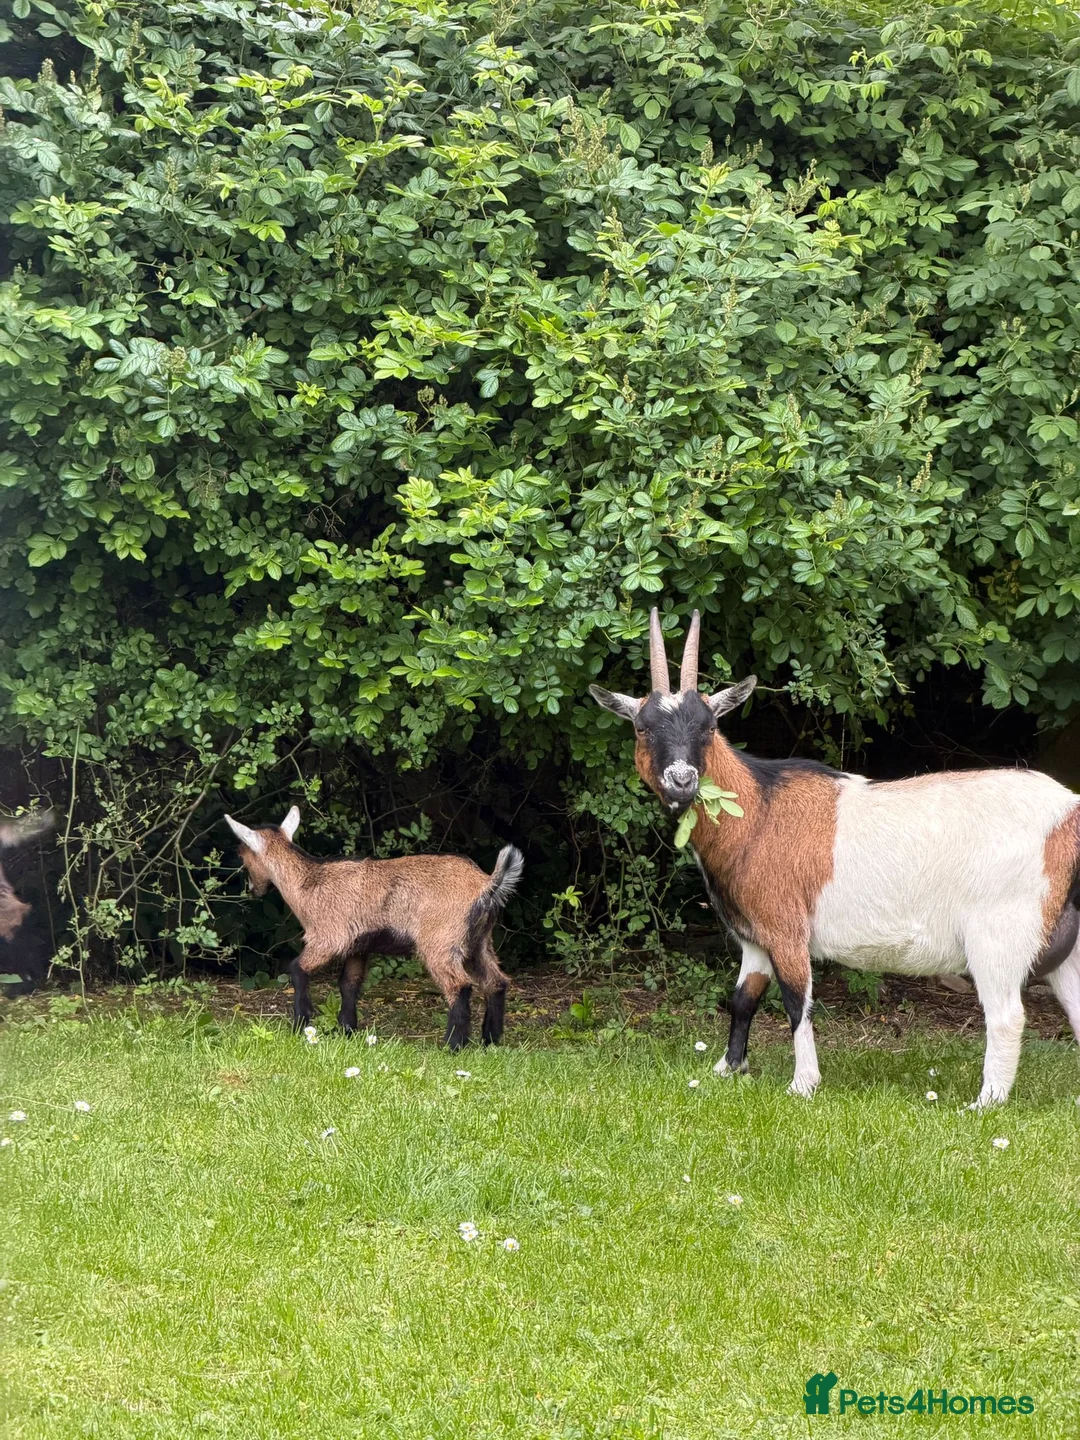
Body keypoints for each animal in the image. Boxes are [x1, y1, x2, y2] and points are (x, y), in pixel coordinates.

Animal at [224, 808, 523, 1049]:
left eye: (242, 854)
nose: (253, 889)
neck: (308, 881)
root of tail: (487, 884)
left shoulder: (328, 937)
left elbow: (297, 969)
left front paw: (301, 1024)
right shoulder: (358, 946)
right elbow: (349, 983)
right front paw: (346, 1029)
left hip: (440, 942)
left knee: (460, 986)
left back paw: (453, 1045)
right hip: (478, 942)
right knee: (496, 982)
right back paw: (490, 1041)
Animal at [590, 608, 1080, 1107]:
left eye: (709, 727)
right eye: (643, 727)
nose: (683, 780)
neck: (760, 807)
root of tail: (1069, 812)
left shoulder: (786, 927)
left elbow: (796, 1001)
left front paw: (803, 1083)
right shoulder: (755, 937)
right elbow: (744, 998)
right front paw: (727, 1069)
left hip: (998, 935)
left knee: (1005, 1015)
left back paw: (984, 1104)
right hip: (1064, 944)